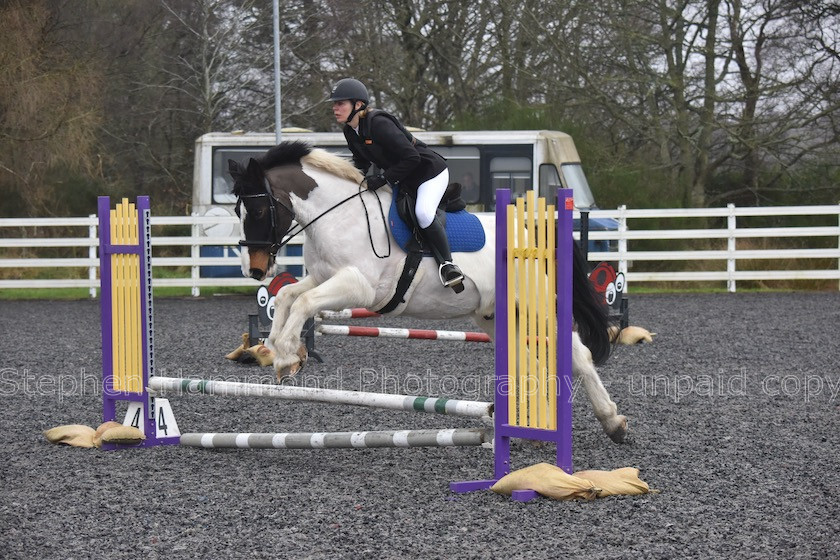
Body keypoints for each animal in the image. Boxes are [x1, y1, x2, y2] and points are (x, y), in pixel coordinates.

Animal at [226, 142, 628, 444]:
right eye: (238, 210)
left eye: (258, 209)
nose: (254, 270)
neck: (338, 215)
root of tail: (538, 232)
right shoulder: (323, 277)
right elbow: (288, 297)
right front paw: (280, 350)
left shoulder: (358, 286)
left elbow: (304, 303)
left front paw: (285, 357)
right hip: (497, 314)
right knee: (530, 360)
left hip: (537, 305)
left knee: (577, 354)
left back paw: (613, 422)